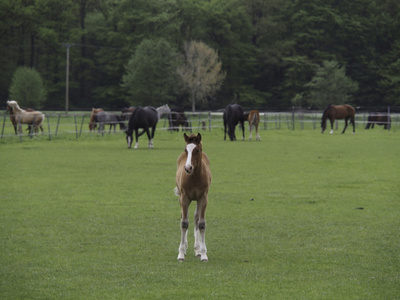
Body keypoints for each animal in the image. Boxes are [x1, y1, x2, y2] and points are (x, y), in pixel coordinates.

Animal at [175, 132, 212, 262]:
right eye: (186, 150)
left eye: (197, 150)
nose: (188, 168)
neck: (195, 177)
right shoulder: (184, 198)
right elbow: (184, 223)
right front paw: (181, 253)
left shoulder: (203, 198)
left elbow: (201, 223)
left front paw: (203, 254)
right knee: (183, 216)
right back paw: (186, 247)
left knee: (196, 217)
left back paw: (197, 249)